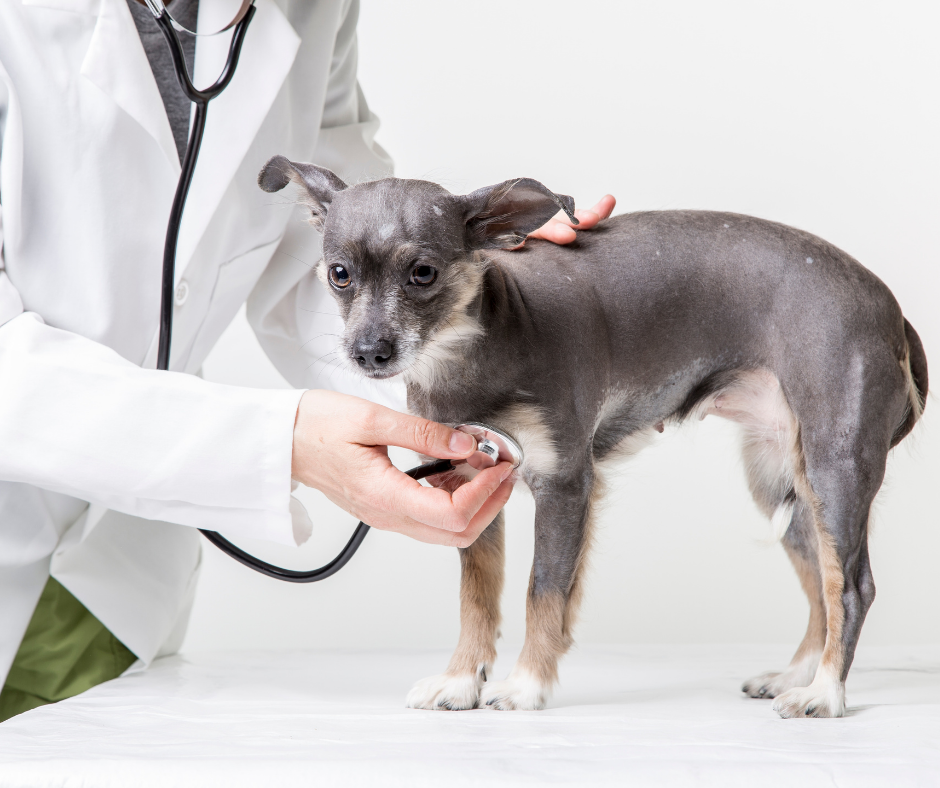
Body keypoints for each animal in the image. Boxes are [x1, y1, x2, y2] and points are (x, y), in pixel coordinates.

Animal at [258, 155, 924, 720]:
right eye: (339, 274)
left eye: (423, 273)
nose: (369, 352)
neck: (478, 350)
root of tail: (888, 308)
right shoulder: (470, 490)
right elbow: (478, 598)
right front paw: (460, 680)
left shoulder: (564, 485)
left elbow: (543, 592)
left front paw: (525, 686)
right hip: (783, 486)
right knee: (820, 584)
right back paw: (797, 676)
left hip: (836, 470)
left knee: (851, 587)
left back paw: (825, 694)